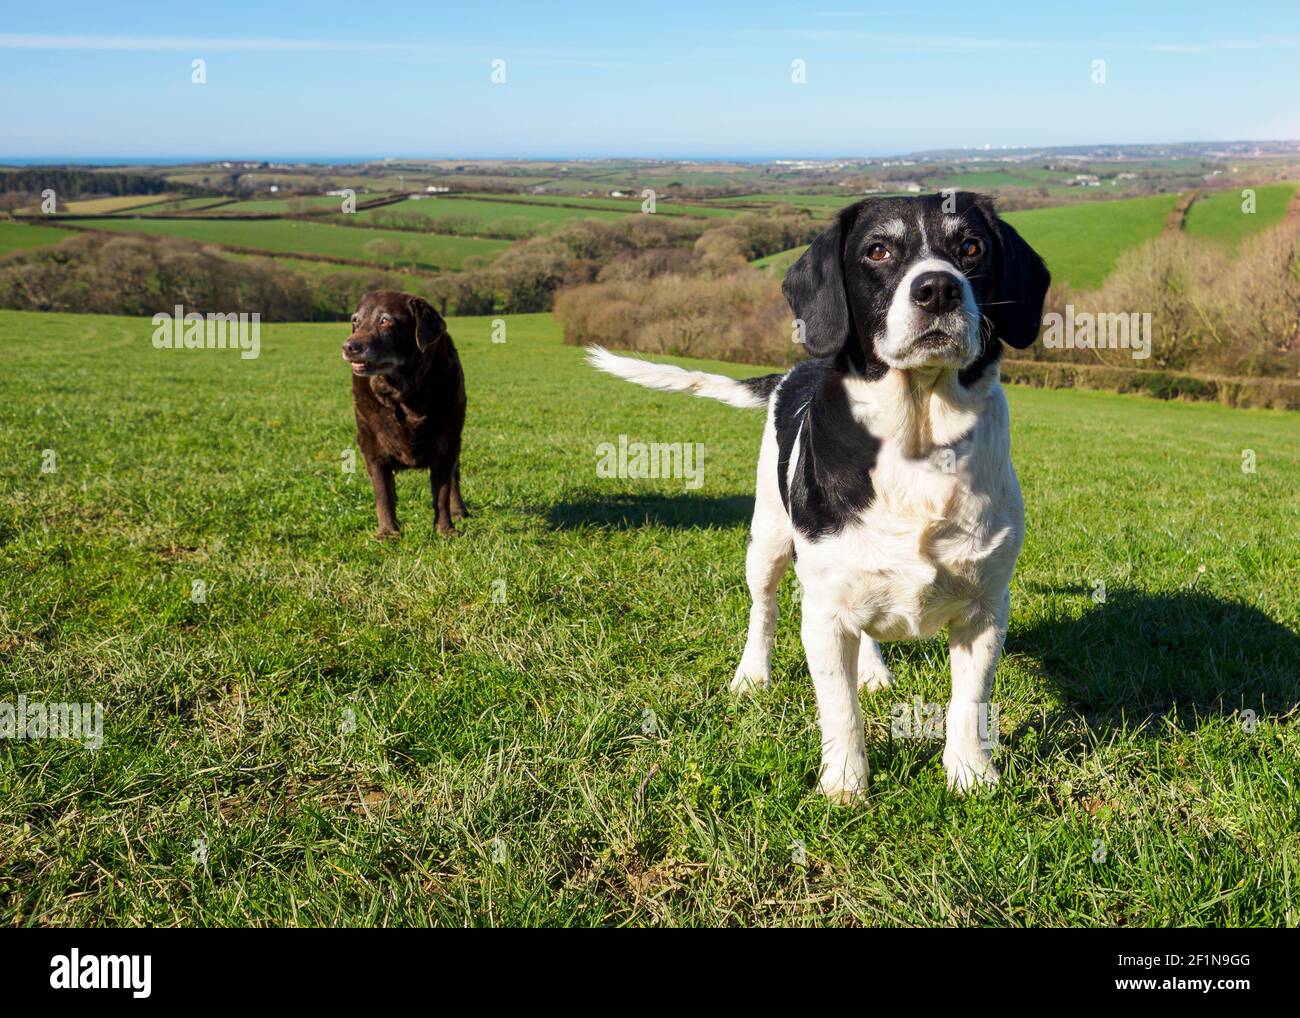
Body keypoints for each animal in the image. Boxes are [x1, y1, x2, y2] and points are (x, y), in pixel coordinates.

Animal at [343, 291, 470, 538]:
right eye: (355, 321)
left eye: (385, 321)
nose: (349, 346)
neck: (404, 394)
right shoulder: (371, 444)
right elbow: (383, 492)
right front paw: (387, 532)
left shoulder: (448, 443)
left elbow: (442, 491)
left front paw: (445, 529)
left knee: (454, 477)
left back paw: (459, 510)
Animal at [595, 193, 1050, 806]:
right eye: (877, 250)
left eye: (971, 246)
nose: (937, 289)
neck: (918, 441)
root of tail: (794, 370)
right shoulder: (825, 613)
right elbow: (839, 710)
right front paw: (845, 786)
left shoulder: (985, 608)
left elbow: (970, 702)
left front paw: (970, 774)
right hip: (767, 542)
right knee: (763, 611)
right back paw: (752, 676)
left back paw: (874, 671)